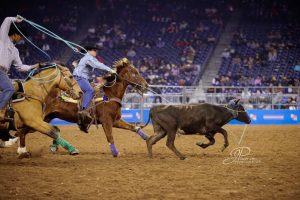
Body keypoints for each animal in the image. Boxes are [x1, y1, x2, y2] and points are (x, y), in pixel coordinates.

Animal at [17, 57, 148, 158]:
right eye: (134, 73)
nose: (146, 85)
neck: (110, 95)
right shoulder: (106, 121)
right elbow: (110, 136)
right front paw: (115, 153)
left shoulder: (115, 120)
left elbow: (133, 127)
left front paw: (147, 137)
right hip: (36, 119)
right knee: (23, 132)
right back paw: (22, 151)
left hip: (46, 118)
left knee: (30, 131)